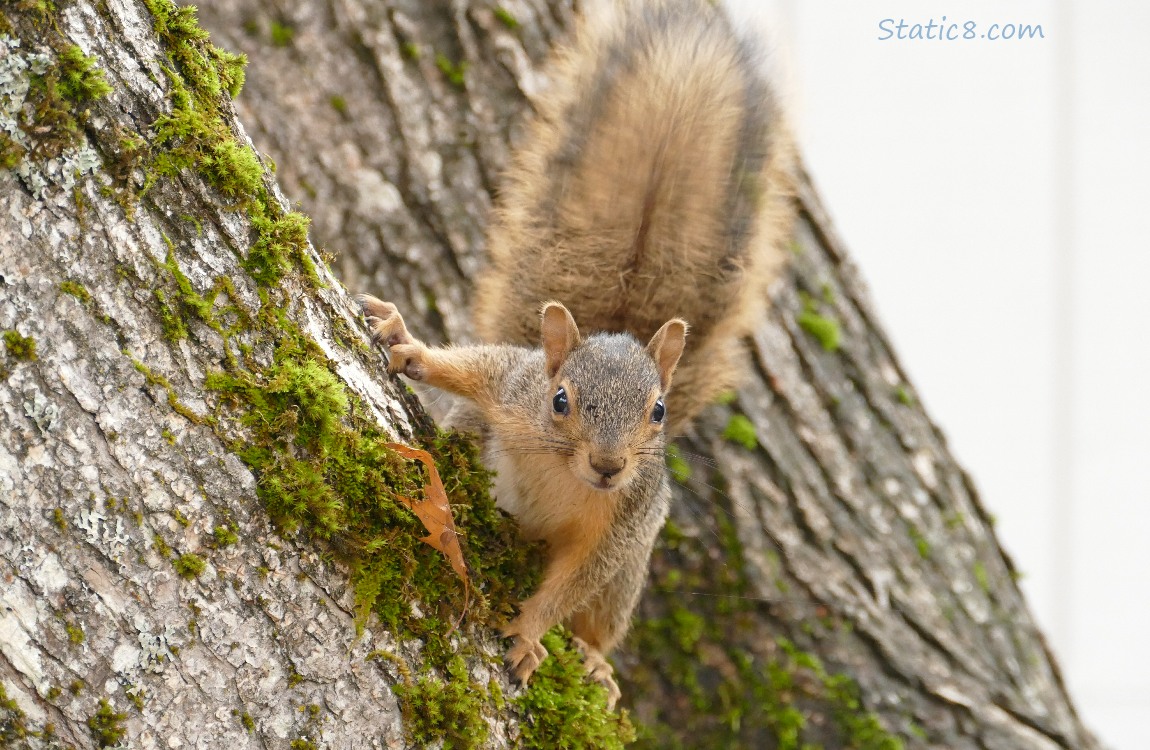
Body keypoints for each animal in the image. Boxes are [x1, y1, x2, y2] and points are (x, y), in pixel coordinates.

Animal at [356, 0, 791, 708]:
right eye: (561, 400)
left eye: (658, 412)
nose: (609, 467)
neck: (563, 472)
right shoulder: (516, 388)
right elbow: (474, 366)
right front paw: (408, 344)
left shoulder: (617, 530)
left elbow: (571, 586)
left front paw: (529, 635)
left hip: (630, 577)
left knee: (599, 620)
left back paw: (594, 664)